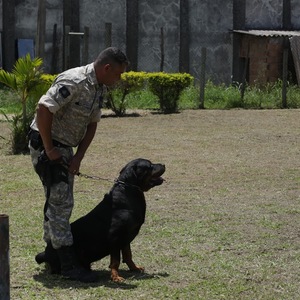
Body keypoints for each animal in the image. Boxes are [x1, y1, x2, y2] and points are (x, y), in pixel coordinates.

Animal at [35, 158, 166, 282]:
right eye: (149, 166)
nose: (164, 164)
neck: (128, 191)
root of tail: (45, 253)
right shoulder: (115, 237)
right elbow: (115, 260)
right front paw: (115, 277)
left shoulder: (126, 238)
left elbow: (128, 255)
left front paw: (134, 268)